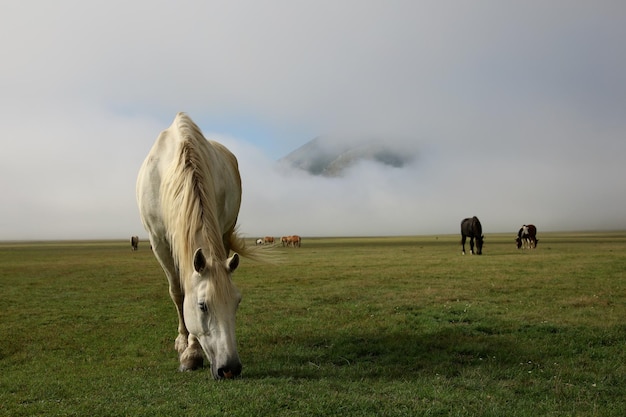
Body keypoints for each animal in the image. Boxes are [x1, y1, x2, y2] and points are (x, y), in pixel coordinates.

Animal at [137, 112, 251, 378]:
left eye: (237, 302)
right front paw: (187, 347)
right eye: (202, 306)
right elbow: (178, 292)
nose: (230, 368)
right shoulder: (159, 242)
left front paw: (192, 349)